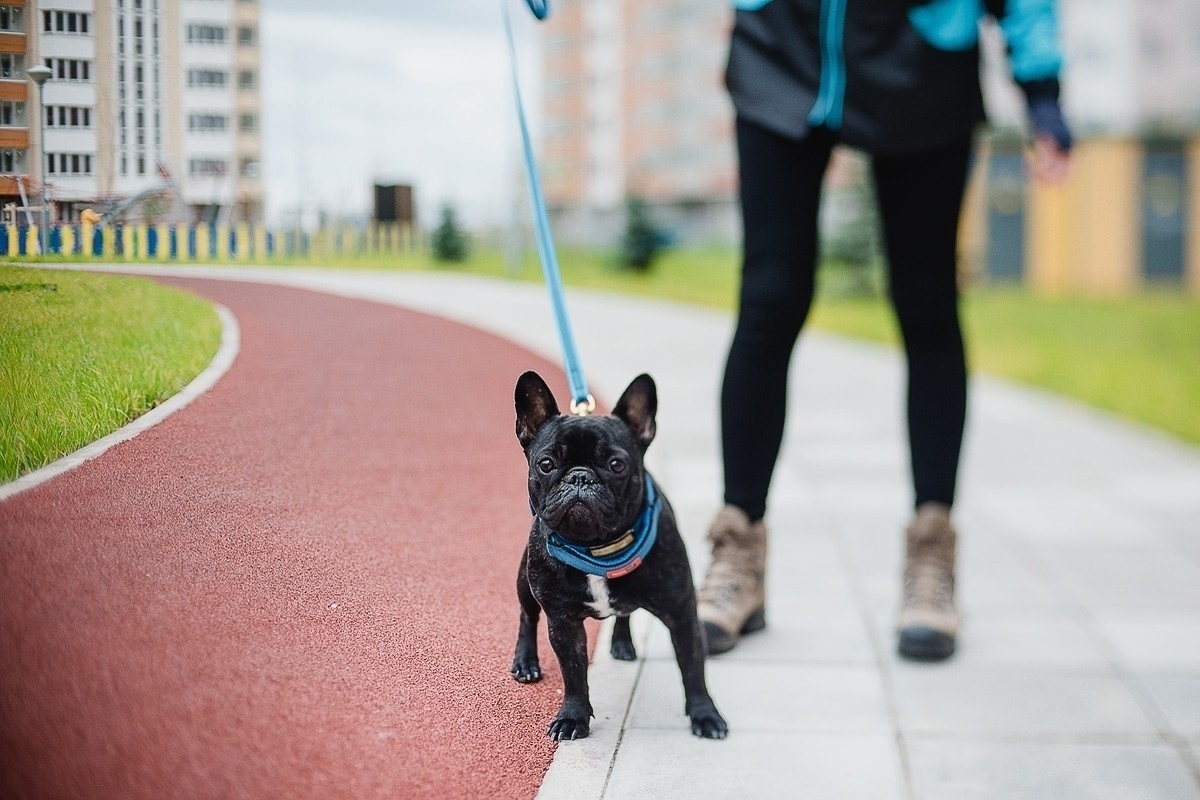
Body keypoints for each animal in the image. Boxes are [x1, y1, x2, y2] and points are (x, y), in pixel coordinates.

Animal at [504, 371, 720, 743]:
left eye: (616, 465)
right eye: (546, 464)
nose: (580, 476)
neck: (597, 548)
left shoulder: (682, 613)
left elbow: (693, 667)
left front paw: (705, 715)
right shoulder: (562, 621)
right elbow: (574, 673)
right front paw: (573, 717)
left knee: (624, 613)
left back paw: (621, 643)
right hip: (524, 581)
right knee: (527, 616)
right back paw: (526, 662)